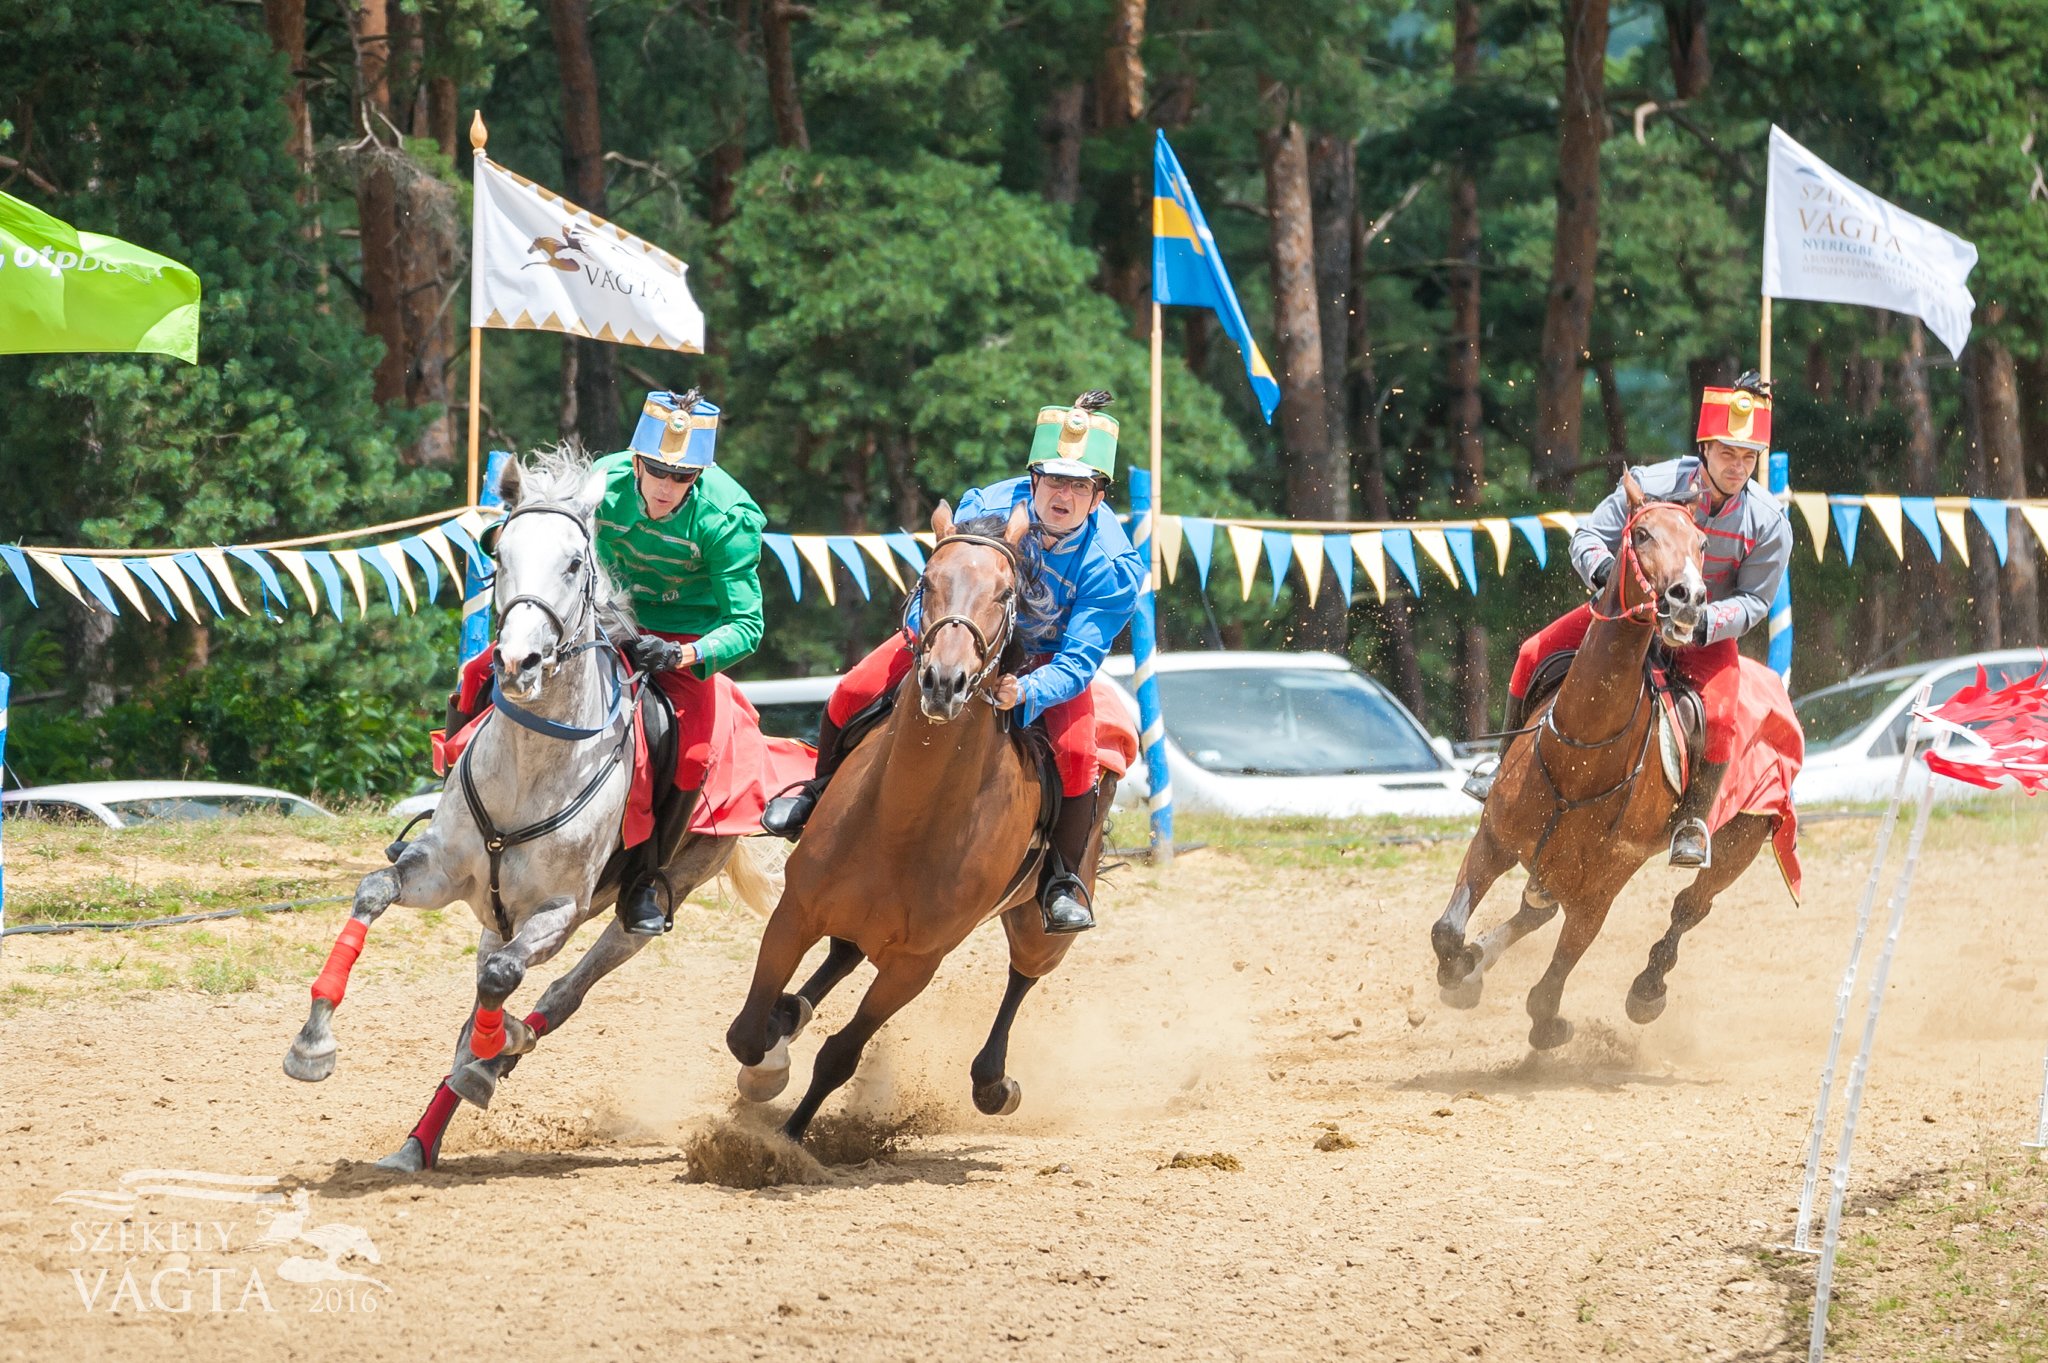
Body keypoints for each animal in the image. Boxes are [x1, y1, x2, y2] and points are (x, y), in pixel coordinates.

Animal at [280, 448, 774, 1170]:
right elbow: (374, 891)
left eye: (573, 562)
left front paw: (496, 1051)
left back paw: (497, 1055)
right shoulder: (439, 873)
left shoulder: (557, 910)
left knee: (560, 990)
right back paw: (419, 1141)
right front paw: (312, 1043)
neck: (533, 764)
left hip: (647, 900)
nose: (518, 661)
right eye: (499, 552)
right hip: (498, 912)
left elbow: (504, 976)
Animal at [724, 497, 1114, 1137]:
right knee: (841, 956)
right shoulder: (794, 913)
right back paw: (793, 1011)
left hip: (1040, 927)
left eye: (1006, 593)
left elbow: (839, 1055)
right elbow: (748, 1031)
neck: (902, 819)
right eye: (927, 580)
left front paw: (786, 1137)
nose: (944, 681)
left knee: (1023, 974)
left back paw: (992, 1081)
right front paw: (769, 1062)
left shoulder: (915, 965)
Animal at [1425, 472, 1777, 1043]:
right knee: (1535, 911)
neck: (1580, 756)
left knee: (1690, 906)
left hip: (1740, 842)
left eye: (1703, 545)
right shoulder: (1494, 840)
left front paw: (1549, 1024)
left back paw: (1648, 989)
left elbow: (1548, 992)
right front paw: (1462, 969)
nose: (1689, 600)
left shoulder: (1603, 886)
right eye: (1642, 535)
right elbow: (1447, 931)